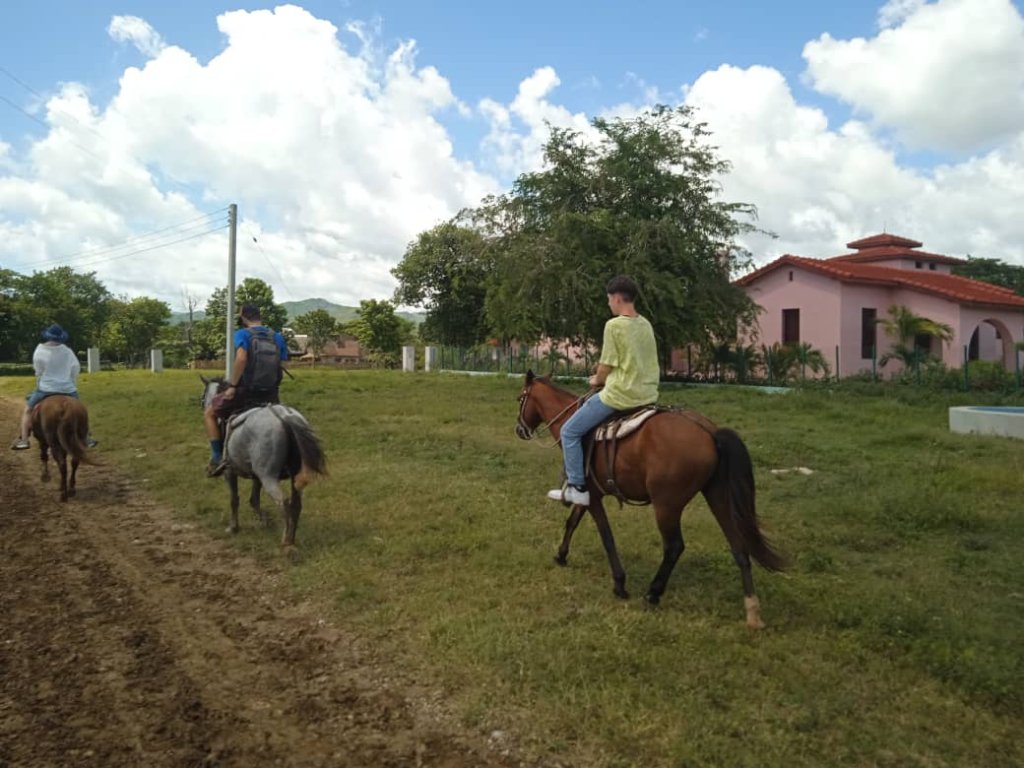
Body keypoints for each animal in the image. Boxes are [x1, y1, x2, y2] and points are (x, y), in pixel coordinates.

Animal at [199, 376, 327, 548]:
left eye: (203, 395)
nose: (203, 404)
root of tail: (284, 417)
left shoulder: (229, 472)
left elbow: (234, 499)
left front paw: (234, 527)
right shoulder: (256, 476)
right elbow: (254, 499)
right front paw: (264, 521)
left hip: (268, 477)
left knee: (284, 502)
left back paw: (286, 541)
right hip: (292, 476)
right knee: (296, 504)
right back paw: (291, 538)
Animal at [512, 372, 782, 630]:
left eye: (520, 398)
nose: (519, 430)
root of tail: (710, 432)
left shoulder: (593, 496)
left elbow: (606, 536)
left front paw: (620, 584)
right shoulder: (588, 493)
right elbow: (572, 522)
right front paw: (561, 555)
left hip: (667, 505)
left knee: (674, 547)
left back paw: (653, 593)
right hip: (718, 497)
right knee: (739, 546)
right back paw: (752, 610)